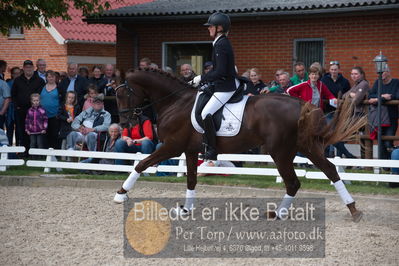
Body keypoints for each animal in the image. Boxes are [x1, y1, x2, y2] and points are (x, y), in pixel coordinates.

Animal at [114, 67, 368, 221]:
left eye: (123, 95)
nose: (126, 123)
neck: (176, 102)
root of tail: (300, 104)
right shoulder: (190, 150)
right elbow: (191, 179)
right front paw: (185, 210)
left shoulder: (172, 146)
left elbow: (141, 164)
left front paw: (121, 194)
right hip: (306, 147)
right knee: (330, 170)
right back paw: (353, 209)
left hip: (280, 152)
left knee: (293, 182)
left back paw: (278, 214)